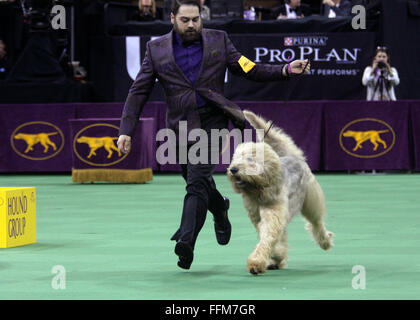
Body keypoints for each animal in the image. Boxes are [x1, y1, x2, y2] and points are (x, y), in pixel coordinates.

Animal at [228, 110, 334, 276]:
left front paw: (257, 262)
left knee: (316, 224)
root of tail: (293, 156)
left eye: (250, 159)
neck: (260, 188)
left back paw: (325, 241)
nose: (233, 169)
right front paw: (275, 257)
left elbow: (268, 237)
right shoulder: (261, 217)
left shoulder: (273, 214)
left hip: (311, 204)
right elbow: (271, 237)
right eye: (236, 158)